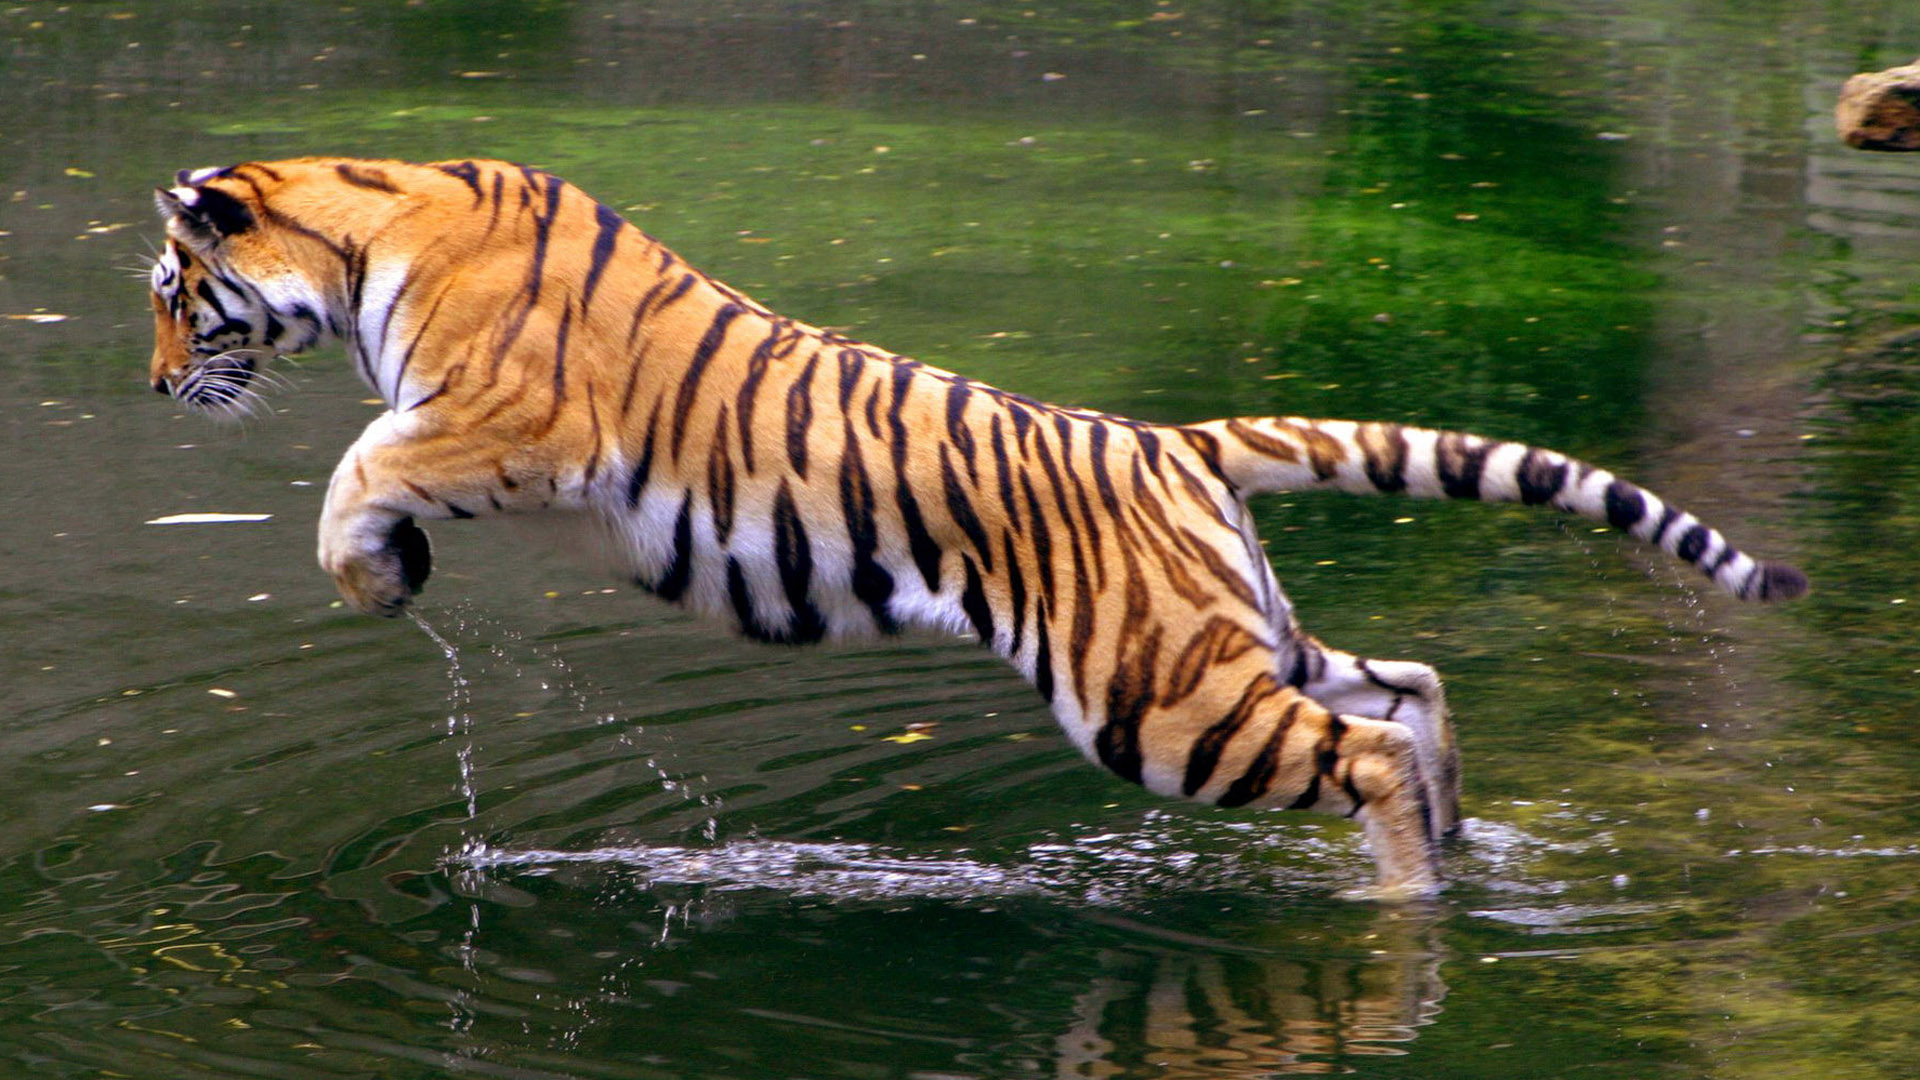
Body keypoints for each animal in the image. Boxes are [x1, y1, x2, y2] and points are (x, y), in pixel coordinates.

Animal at [146, 157, 1807, 897]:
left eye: (172, 293)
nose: (158, 386)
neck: (367, 225)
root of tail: (1173, 440)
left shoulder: (502, 418)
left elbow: (353, 469)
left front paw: (376, 576)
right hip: (1230, 637)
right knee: (1409, 687)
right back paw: (1460, 848)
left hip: (1156, 696)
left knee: (1367, 748)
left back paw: (1406, 893)